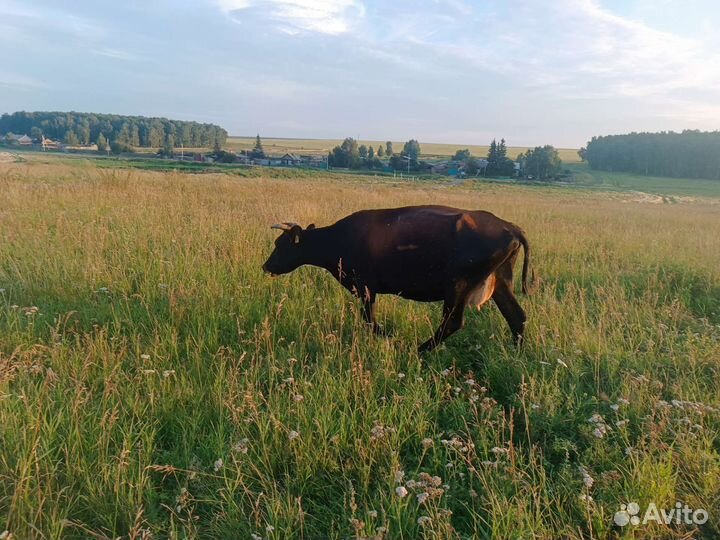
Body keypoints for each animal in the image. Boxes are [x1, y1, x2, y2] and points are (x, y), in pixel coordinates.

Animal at [262, 205, 533, 352]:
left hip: (458, 287)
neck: (340, 239)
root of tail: (510, 226)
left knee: (452, 323)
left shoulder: (365, 287)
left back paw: (419, 349)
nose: (266, 266)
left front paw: (387, 336)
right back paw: (516, 354)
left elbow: (369, 320)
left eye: (281, 245)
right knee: (516, 316)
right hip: (500, 283)